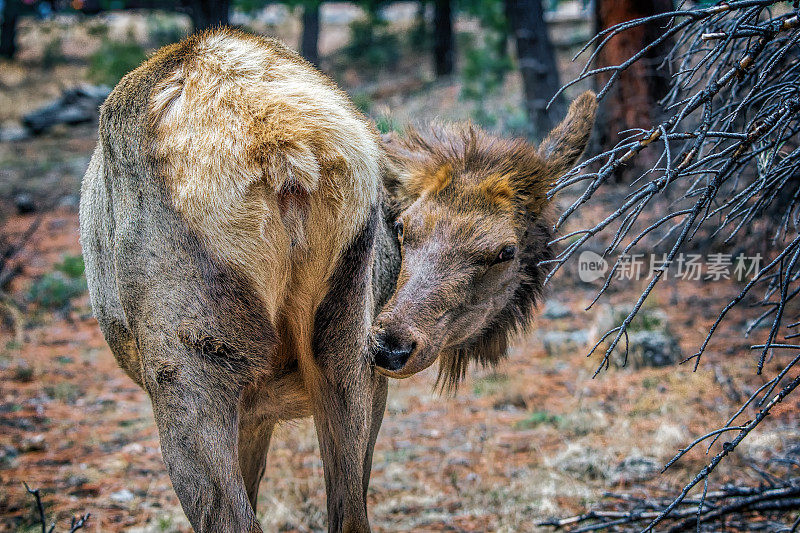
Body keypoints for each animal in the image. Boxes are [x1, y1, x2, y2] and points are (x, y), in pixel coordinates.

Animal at [81, 27, 592, 532]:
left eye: (505, 251)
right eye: (402, 227)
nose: (395, 344)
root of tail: (284, 150)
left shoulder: (259, 407)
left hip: (194, 359)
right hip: (346, 343)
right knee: (347, 514)